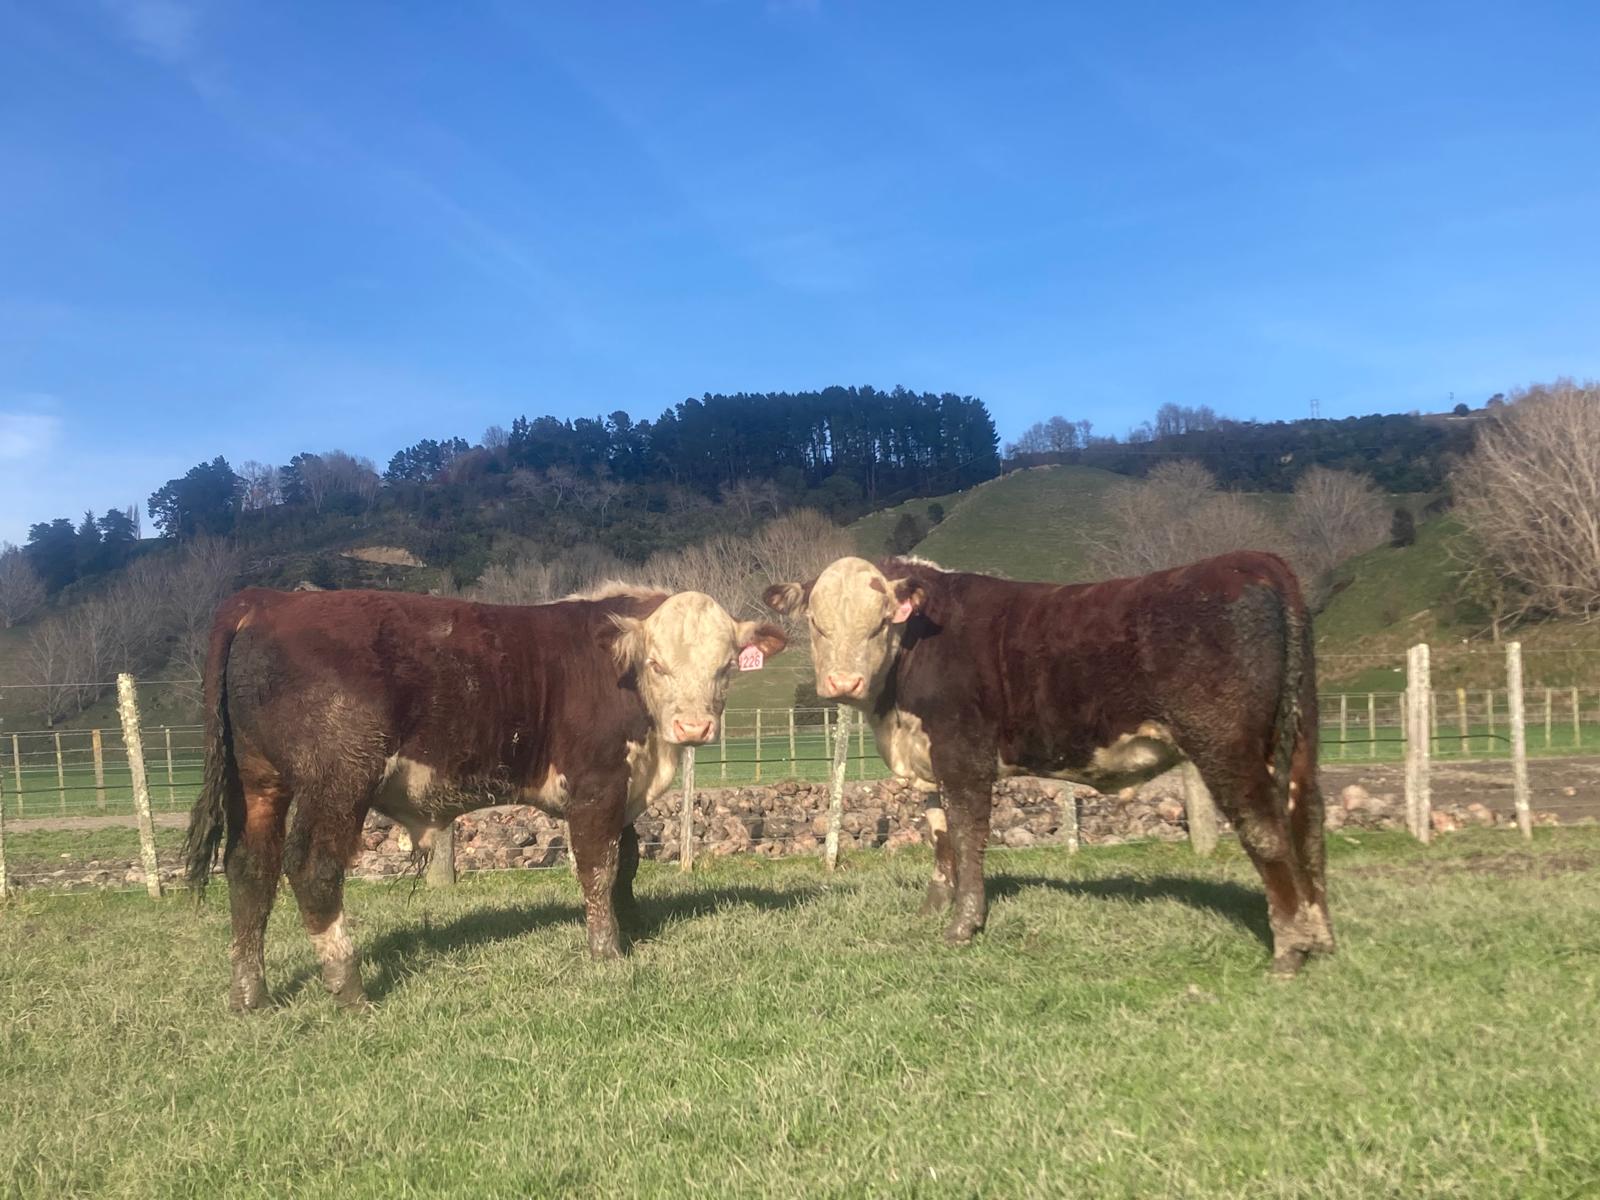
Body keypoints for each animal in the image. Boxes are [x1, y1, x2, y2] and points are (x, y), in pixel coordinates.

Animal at [183, 585, 786, 1011]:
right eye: (657, 664)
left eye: (725, 666)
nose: (694, 726)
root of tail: (269, 599)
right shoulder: (597, 783)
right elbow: (598, 866)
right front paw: (607, 950)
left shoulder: (623, 787)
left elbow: (628, 861)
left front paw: (633, 924)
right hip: (337, 780)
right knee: (312, 868)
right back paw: (348, 986)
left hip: (260, 784)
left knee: (250, 871)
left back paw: (250, 996)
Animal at [764, 552, 1333, 977]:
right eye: (815, 623)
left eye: (881, 623)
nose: (842, 683)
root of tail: (1253, 562)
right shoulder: (927, 757)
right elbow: (939, 833)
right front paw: (933, 908)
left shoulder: (963, 754)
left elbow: (967, 835)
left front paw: (963, 925)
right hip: (1300, 732)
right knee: (1308, 824)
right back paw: (1322, 937)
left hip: (1226, 745)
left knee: (1265, 830)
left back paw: (1289, 950)